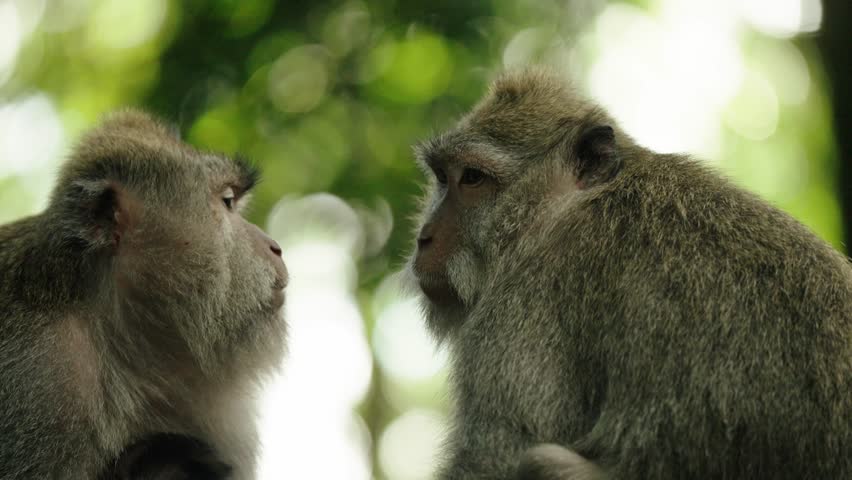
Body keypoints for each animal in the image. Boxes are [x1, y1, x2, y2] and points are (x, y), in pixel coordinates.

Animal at [404, 67, 852, 479]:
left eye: (472, 179)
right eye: (442, 178)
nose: (424, 238)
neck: (564, 212)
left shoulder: (518, 315)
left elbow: (498, 453)